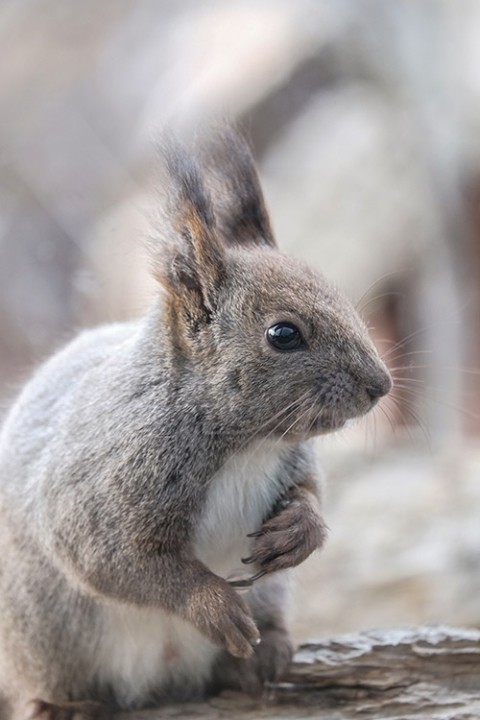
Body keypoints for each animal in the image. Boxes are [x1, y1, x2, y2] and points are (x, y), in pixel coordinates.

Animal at [0, 126, 392, 716]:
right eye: (283, 334)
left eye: (338, 295)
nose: (381, 386)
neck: (247, 445)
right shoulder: (98, 488)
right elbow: (117, 562)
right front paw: (213, 604)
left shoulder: (293, 460)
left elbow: (312, 493)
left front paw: (300, 531)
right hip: (43, 631)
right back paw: (61, 704)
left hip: (271, 594)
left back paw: (263, 655)